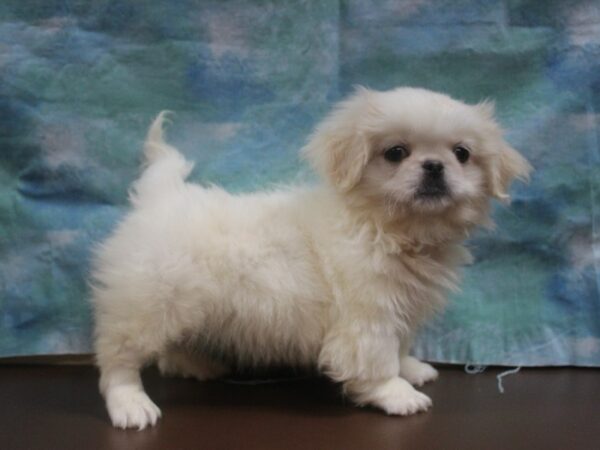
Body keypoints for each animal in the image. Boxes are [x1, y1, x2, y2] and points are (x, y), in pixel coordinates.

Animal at [90, 87, 528, 428]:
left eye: (462, 154)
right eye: (396, 153)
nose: (434, 166)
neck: (386, 229)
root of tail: (159, 196)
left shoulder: (400, 309)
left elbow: (399, 346)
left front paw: (413, 369)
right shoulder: (369, 317)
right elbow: (378, 359)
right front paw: (397, 394)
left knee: (170, 349)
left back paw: (197, 366)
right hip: (146, 303)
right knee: (118, 360)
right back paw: (132, 406)